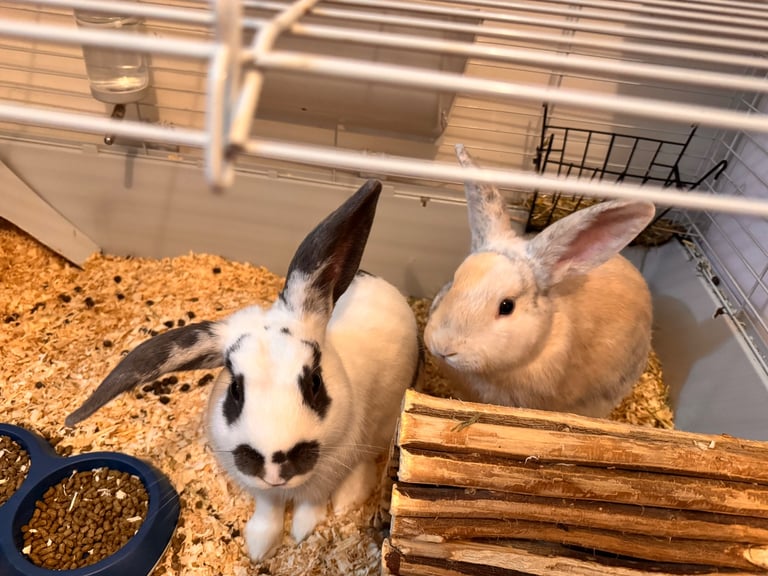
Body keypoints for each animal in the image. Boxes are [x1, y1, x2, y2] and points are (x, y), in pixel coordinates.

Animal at [65, 179, 421, 561]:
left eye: (314, 382)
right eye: (235, 389)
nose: (275, 465)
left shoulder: (325, 473)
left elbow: (310, 505)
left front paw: (301, 532)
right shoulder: (260, 487)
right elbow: (269, 509)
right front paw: (260, 546)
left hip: (382, 423)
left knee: (368, 461)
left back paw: (346, 500)